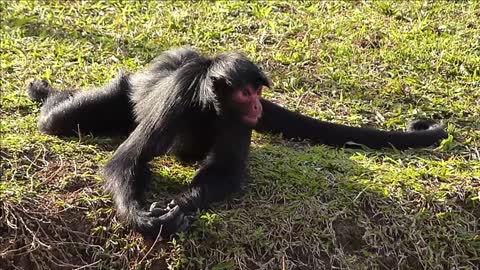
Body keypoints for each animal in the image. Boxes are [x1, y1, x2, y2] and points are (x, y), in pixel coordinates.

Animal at [26, 47, 446, 237]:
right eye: (246, 93)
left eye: (257, 92)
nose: (258, 104)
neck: (204, 104)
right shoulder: (177, 97)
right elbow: (125, 161)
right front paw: (140, 216)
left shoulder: (238, 121)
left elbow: (224, 172)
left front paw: (181, 206)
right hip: (126, 88)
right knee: (57, 120)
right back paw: (46, 95)